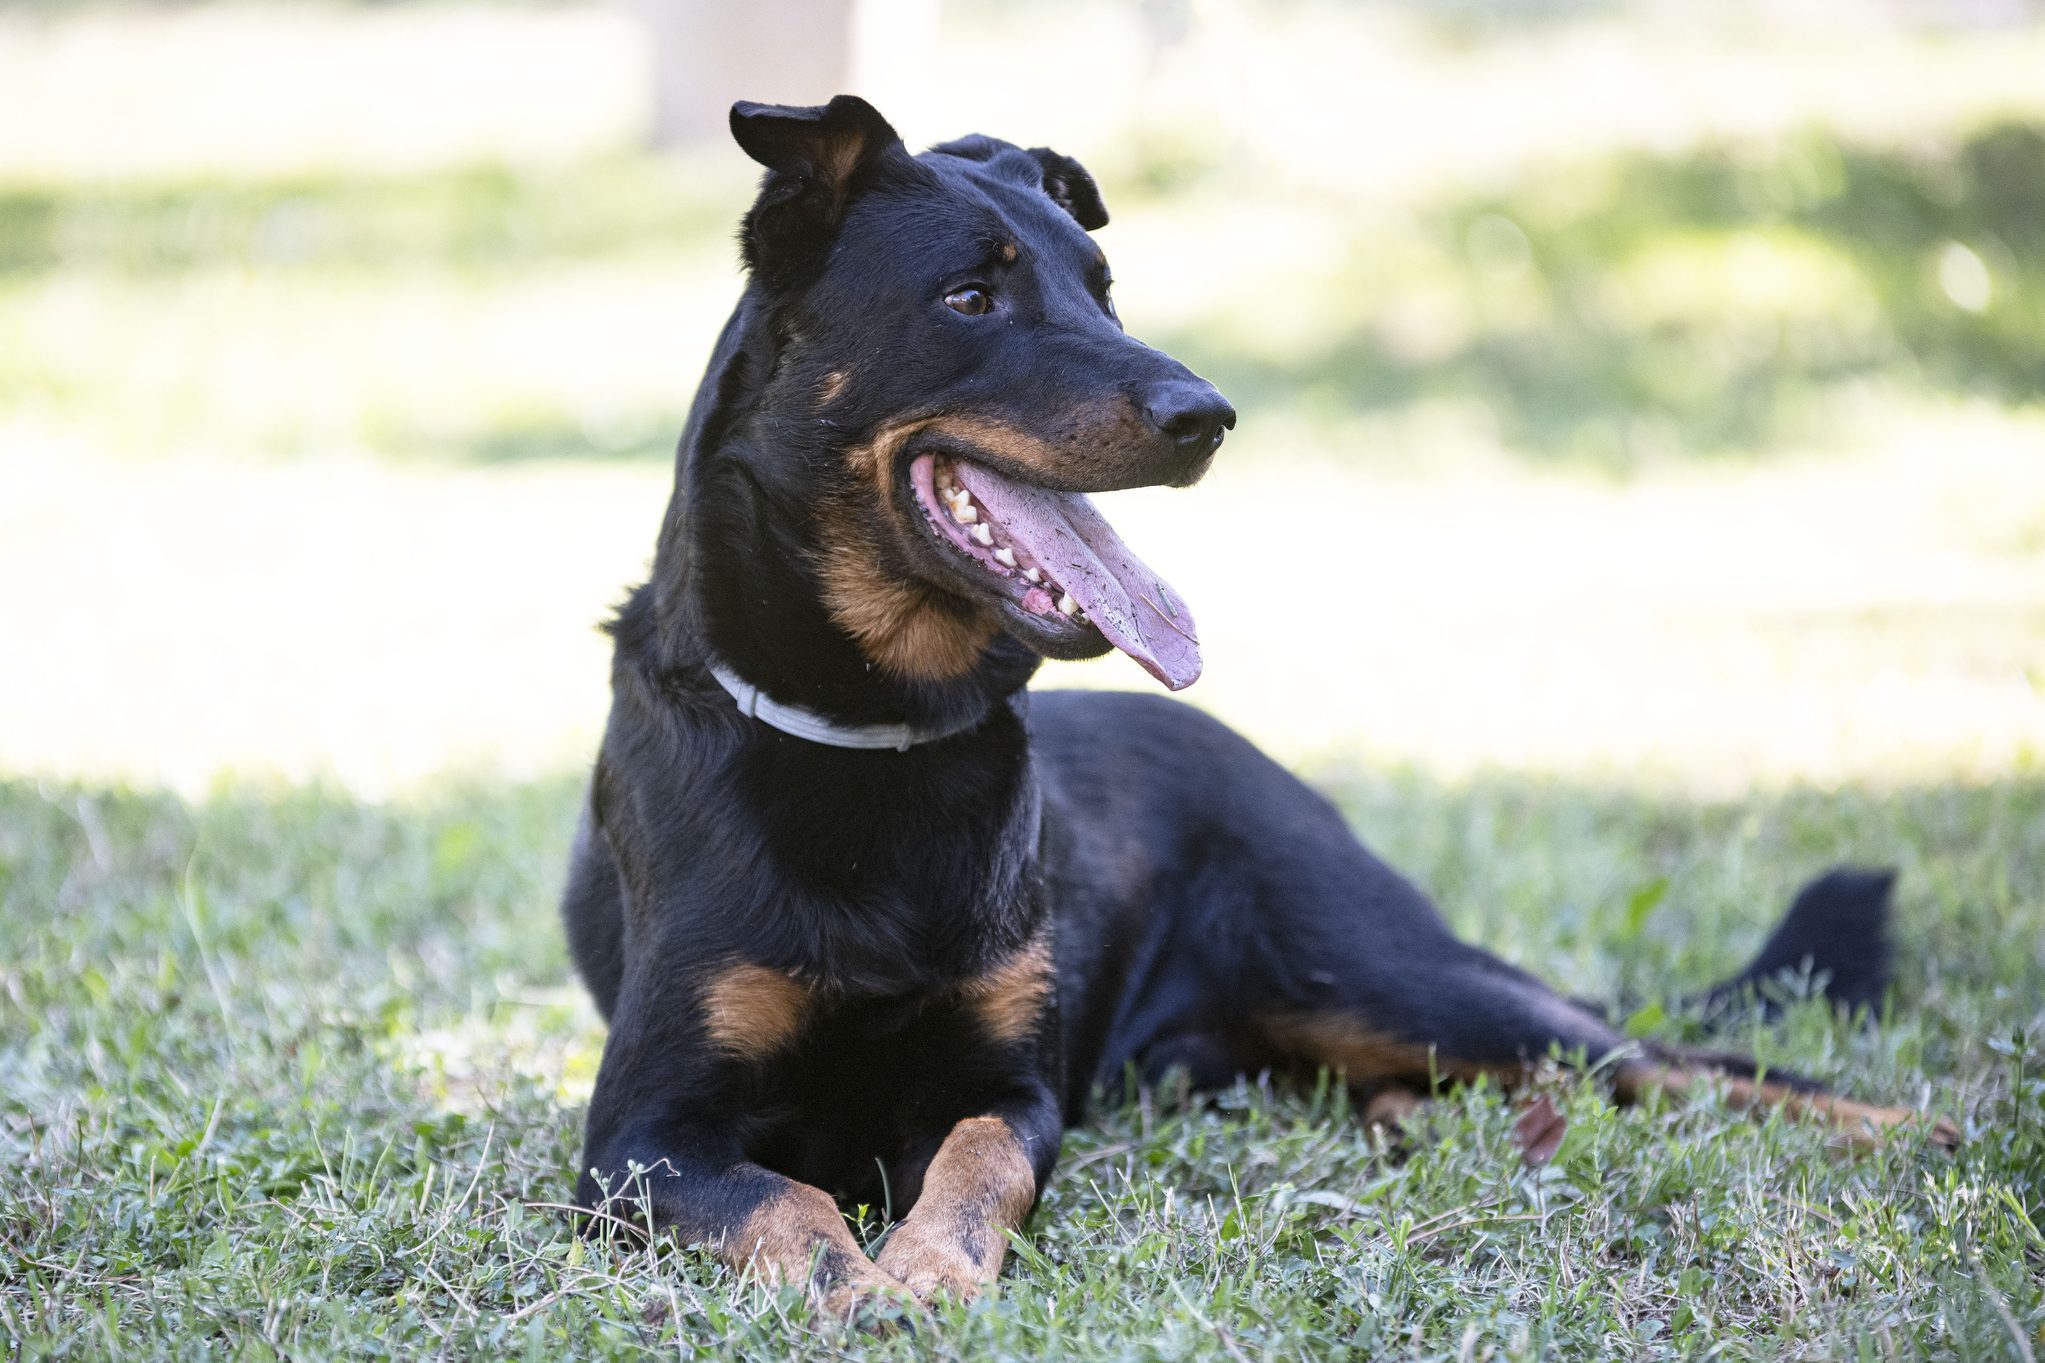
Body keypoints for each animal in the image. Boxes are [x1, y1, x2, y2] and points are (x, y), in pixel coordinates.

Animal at [560, 93, 1946, 1307]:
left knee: (1669, 1057)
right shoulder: (639, 1138)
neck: (871, 732)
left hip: (1373, 971)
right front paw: (861, 1286)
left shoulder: (1012, 1088)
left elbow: (973, 1165)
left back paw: (1904, 1124)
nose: (1208, 416)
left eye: (1101, 288)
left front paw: (926, 1269)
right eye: (969, 295)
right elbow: (788, 1200)